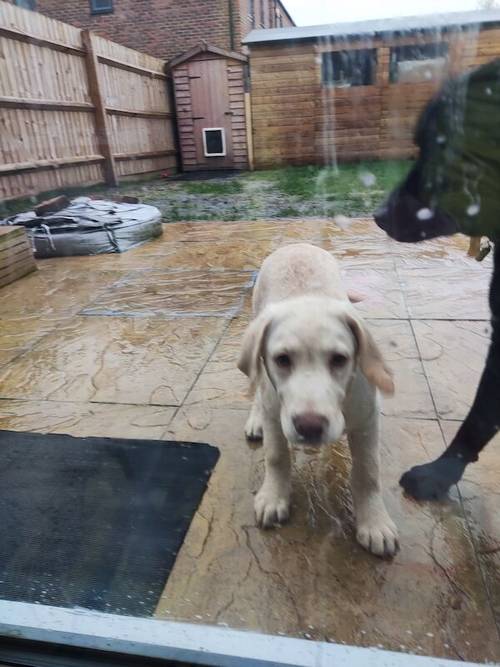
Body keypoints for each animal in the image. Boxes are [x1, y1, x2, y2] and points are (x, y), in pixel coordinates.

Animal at [238, 245, 398, 560]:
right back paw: (255, 419)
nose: (309, 427)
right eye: (282, 360)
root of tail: (295, 244)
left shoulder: (368, 418)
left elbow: (369, 470)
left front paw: (374, 521)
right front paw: (274, 496)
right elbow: (276, 456)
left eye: (339, 359)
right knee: (256, 387)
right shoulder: (276, 414)